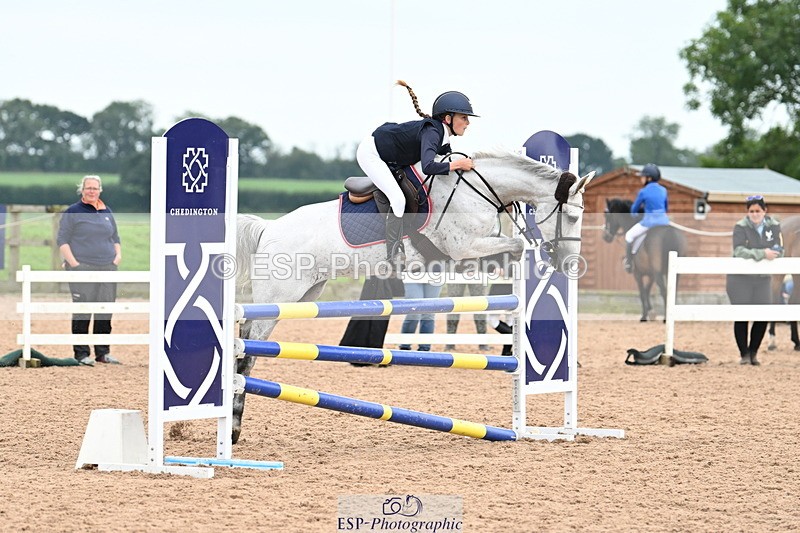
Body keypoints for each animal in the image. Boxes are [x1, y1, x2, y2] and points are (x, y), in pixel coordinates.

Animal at [230, 149, 596, 443]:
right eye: (572, 216)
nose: (569, 263)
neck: (476, 191)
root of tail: (268, 228)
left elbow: (511, 248)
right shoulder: (463, 247)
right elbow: (517, 244)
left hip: (304, 294)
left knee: (252, 346)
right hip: (280, 294)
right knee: (246, 348)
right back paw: (232, 426)